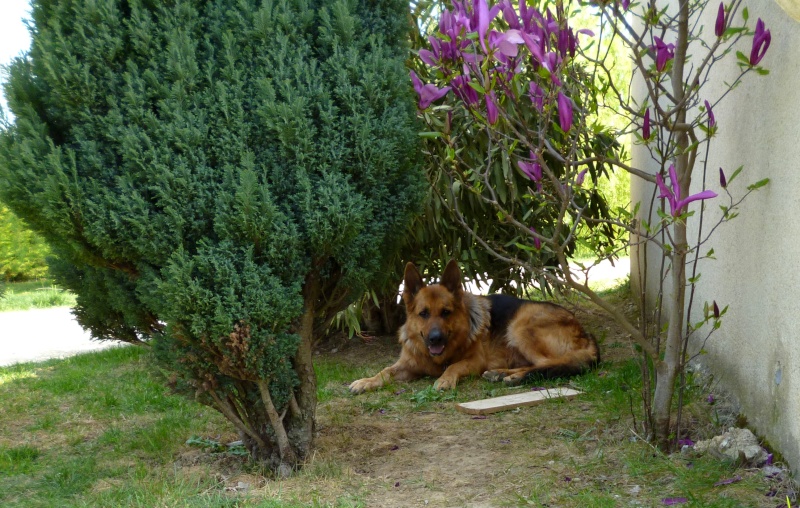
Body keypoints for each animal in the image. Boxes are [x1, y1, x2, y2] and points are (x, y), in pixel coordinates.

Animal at [350, 260, 600, 390]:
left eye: (446, 312)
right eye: (423, 314)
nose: (435, 338)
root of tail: (585, 334)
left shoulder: (474, 361)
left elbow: (453, 366)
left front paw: (445, 379)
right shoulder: (407, 365)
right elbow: (385, 371)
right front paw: (366, 381)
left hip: (520, 326)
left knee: (550, 363)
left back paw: (514, 377)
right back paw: (500, 374)